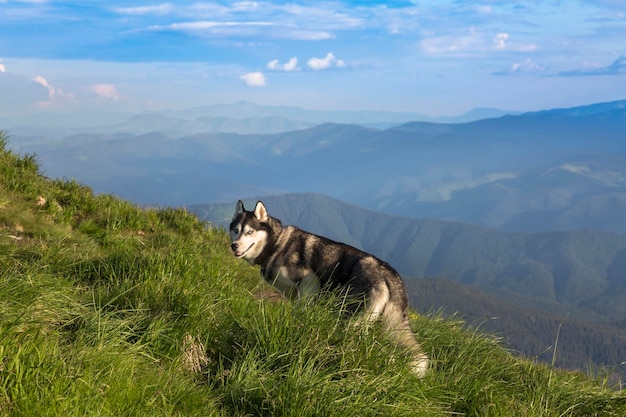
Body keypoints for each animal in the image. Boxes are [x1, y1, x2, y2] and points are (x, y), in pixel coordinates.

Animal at [229, 199, 428, 376]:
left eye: (250, 231)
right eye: (236, 230)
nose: (234, 246)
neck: (276, 244)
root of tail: (390, 274)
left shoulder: (309, 281)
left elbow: (301, 312)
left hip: (353, 321)